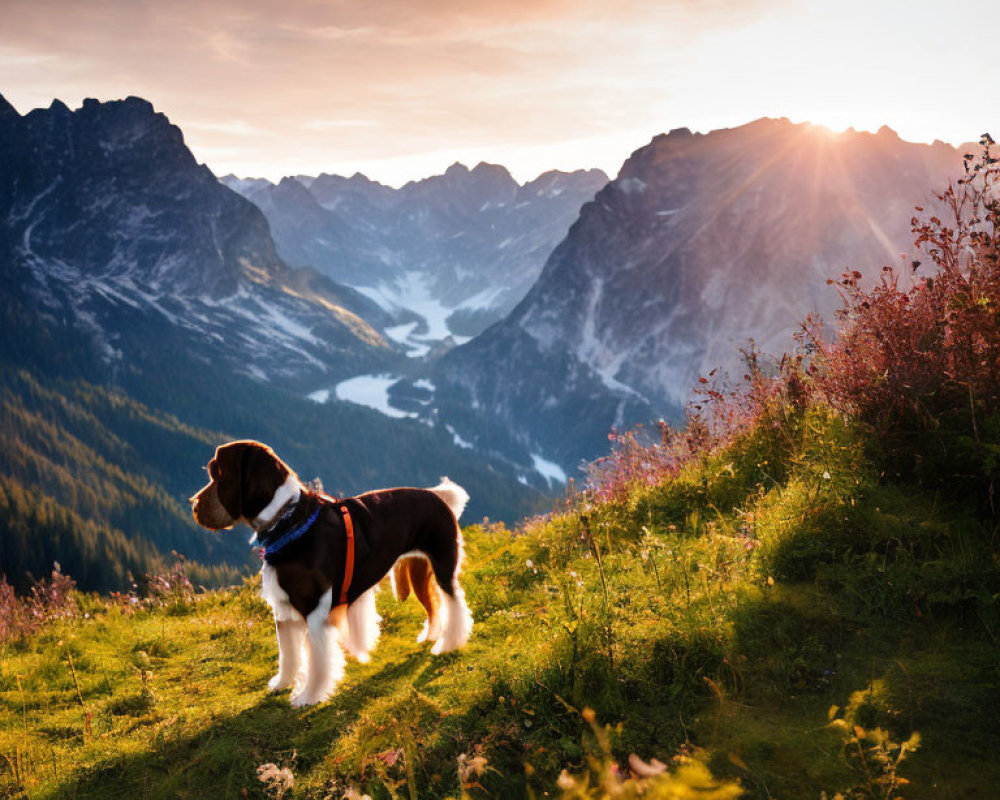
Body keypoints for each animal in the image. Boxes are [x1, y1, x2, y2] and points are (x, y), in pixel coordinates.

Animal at [189, 438, 474, 708]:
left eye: (217, 473)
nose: (193, 504)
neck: (289, 523)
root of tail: (437, 496)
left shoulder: (315, 611)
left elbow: (318, 661)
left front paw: (308, 696)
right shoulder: (284, 610)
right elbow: (288, 655)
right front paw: (282, 684)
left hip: (442, 563)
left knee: (454, 603)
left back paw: (449, 644)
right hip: (418, 570)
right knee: (434, 604)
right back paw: (432, 636)